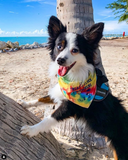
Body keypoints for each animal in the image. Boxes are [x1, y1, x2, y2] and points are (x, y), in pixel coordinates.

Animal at [18, 15, 128, 159]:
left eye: (75, 50)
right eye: (59, 46)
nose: (60, 60)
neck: (72, 77)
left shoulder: (70, 106)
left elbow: (48, 119)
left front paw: (31, 129)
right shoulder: (60, 93)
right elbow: (42, 98)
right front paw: (25, 103)